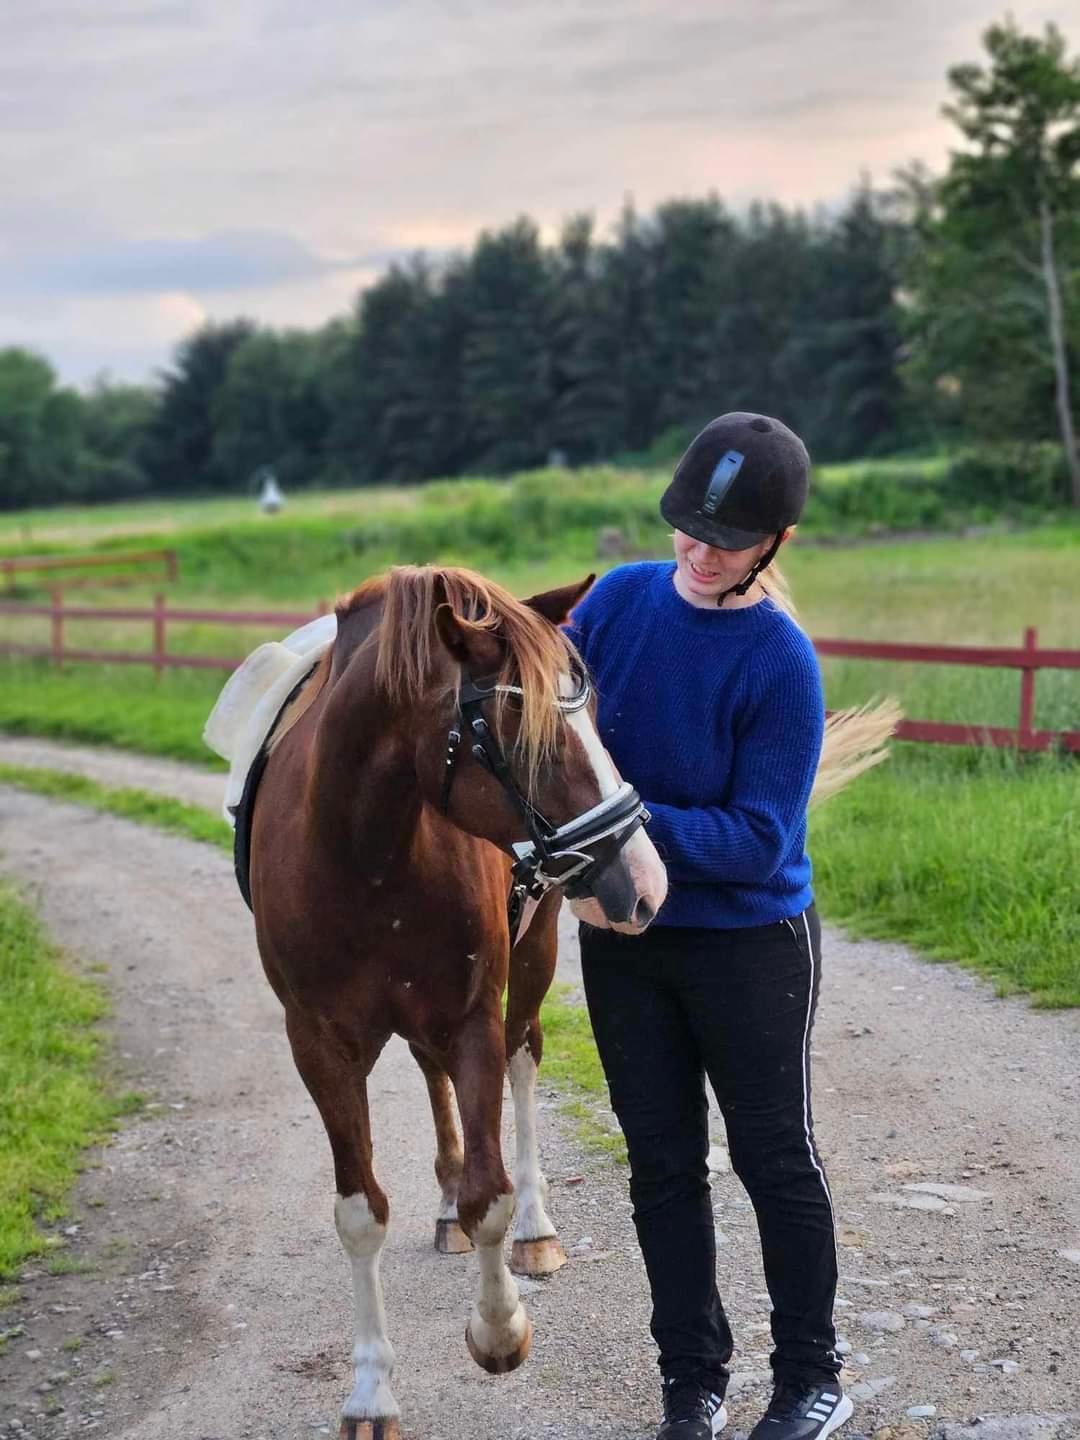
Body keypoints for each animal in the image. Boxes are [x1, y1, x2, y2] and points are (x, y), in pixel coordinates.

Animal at [250, 567, 668, 1434]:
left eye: (592, 714)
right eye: (520, 731)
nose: (644, 882)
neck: (363, 849)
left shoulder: (474, 1015)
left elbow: (491, 1191)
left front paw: (500, 1328)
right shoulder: (319, 1045)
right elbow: (360, 1211)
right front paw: (370, 1388)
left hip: (531, 965)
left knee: (522, 1062)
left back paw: (537, 1230)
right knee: (429, 1073)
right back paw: (442, 1207)